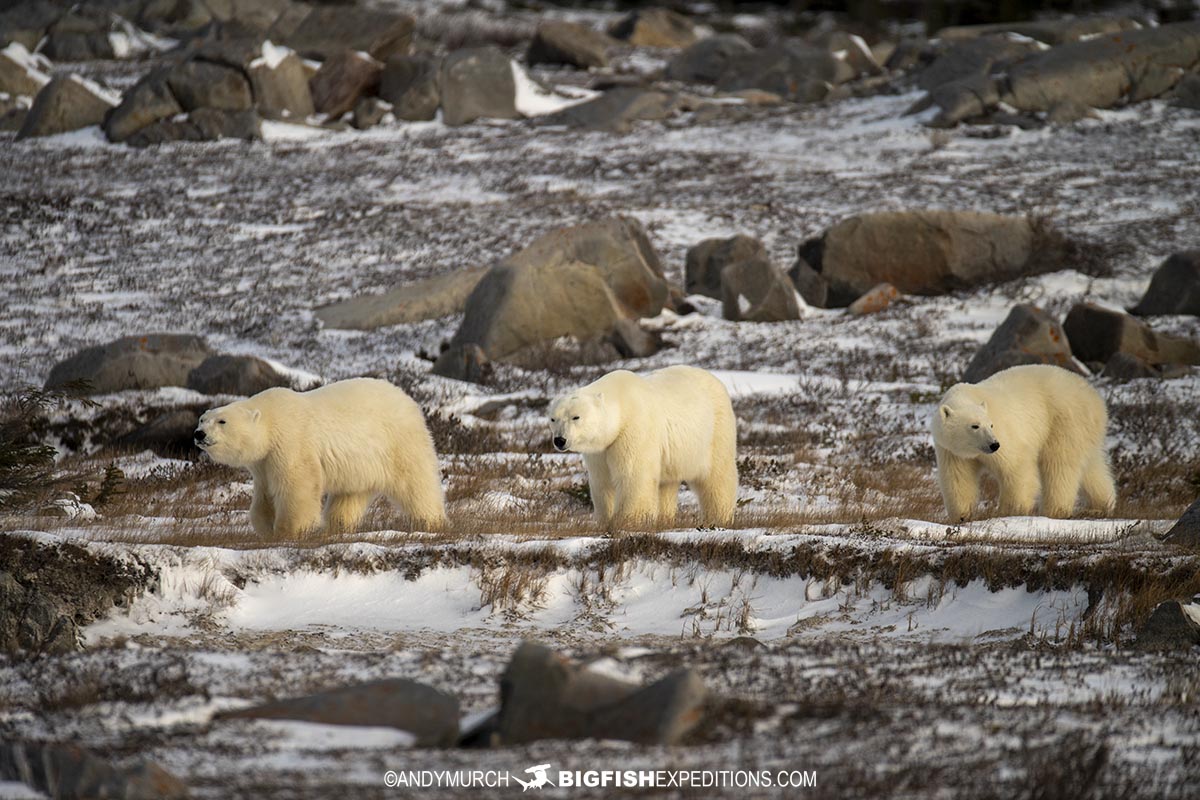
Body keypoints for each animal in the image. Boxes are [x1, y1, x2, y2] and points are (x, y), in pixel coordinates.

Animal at [196, 381, 451, 537]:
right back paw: (338, 526)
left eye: (222, 421)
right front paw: (266, 526)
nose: (199, 434)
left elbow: (297, 484)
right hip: (360, 465)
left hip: (398, 442)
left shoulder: (290, 441)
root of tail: (408, 399)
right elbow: (265, 494)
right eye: (202, 419)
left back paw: (432, 521)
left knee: (416, 482)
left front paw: (289, 530)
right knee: (350, 495)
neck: (270, 419)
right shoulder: (263, 463)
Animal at [549, 367, 734, 532]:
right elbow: (602, 481)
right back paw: (664, 520)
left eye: (576, 417)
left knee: (717, 476)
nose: (560, 440)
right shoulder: (600, 450)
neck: (621, 403)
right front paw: (604, 520)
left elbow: (633, 476)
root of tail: (713, 377)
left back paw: (718, 518)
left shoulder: (634, 429)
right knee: (667, 484)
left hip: (714, 432)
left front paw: (626, 522)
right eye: (553, 419)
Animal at [926, 367, 1113, 522]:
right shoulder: (950, 450)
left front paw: (1010, 511)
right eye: (975, 426)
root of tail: (1095, 398)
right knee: (1091, 467)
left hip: (1065, 421)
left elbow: (1016, 467)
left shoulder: (1006, 434)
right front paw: (962, 516)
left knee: (1059, 465)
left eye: (991, 425)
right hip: (1084, 431)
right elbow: (958, 478)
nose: (994, 445)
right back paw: (1102, 505)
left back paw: (1053, 511)